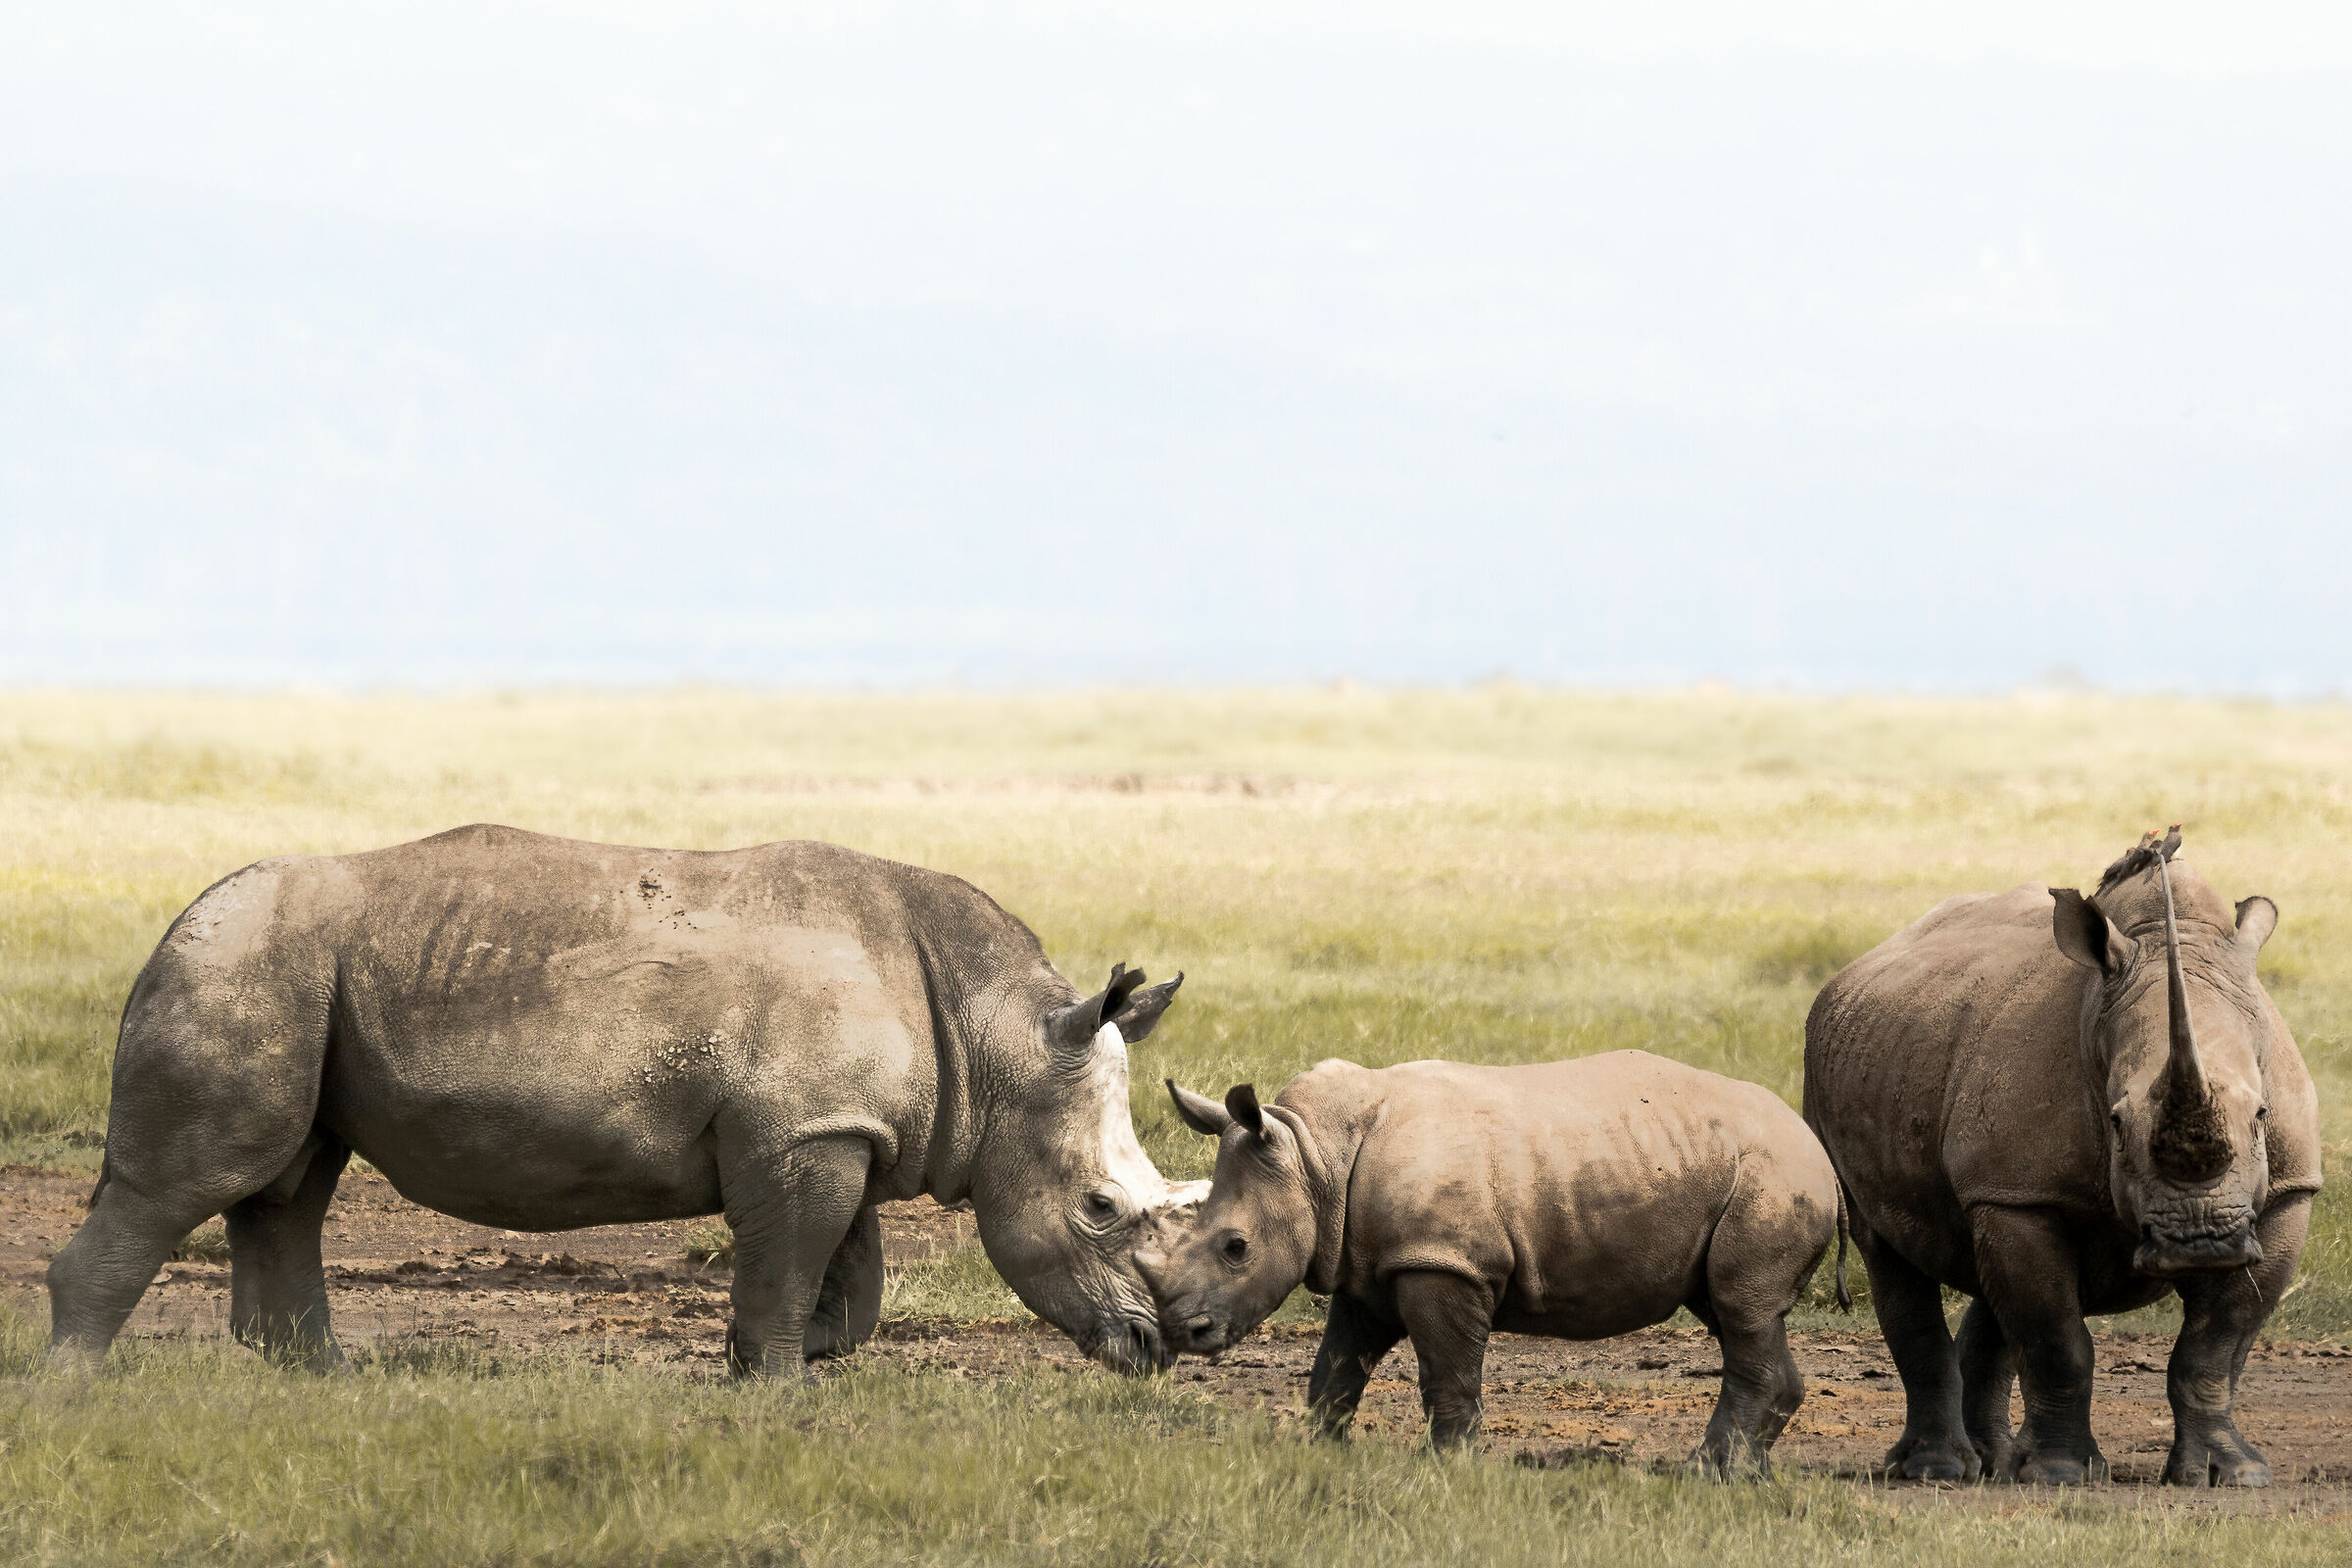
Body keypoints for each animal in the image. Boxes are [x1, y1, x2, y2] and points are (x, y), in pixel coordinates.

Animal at [46, 825, 1189, 1376]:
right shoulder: (806, 1132)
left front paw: (774, 1355)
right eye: (1100, 1208)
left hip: (289, 974)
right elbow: (793, 1261)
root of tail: (173, 923)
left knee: (291, 1182)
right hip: (241, 964)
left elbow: (850, 1274)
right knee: (193, 1182)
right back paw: (74, 1394)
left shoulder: (828, 1125)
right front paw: (773, 1379)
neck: (999, 1040)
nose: (1161, 1348)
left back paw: (328, 1384)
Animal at [1138, 1052, 1843, 1472]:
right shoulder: (1371, 1266)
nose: (1183, 1333)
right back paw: (1747, 1474)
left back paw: (1707, 1473)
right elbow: (1336, 1366)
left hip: (1772, 1176)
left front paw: (1450, 1467)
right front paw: (1320, 1453)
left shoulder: (1442, 1260)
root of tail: (1818, 1148)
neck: (1314, 1157)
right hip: (1730, 1173)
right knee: (1733, 1310)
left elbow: (1446, 1373)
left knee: (1742, 1307)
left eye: (1236, 1248)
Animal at [1804, 831, 2322, 1485]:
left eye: (2260, 1116)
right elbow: (2055, 1338)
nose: (2201, 1241)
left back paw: (1993, 1462)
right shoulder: (2021, 1192)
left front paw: (2227, 1475)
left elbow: (2216, 1345)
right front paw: (2058, 1475)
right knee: (1890, 1253)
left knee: (1987, 1279)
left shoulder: (2286, 1192)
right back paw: (1938, 1471)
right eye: (2117, 1124)